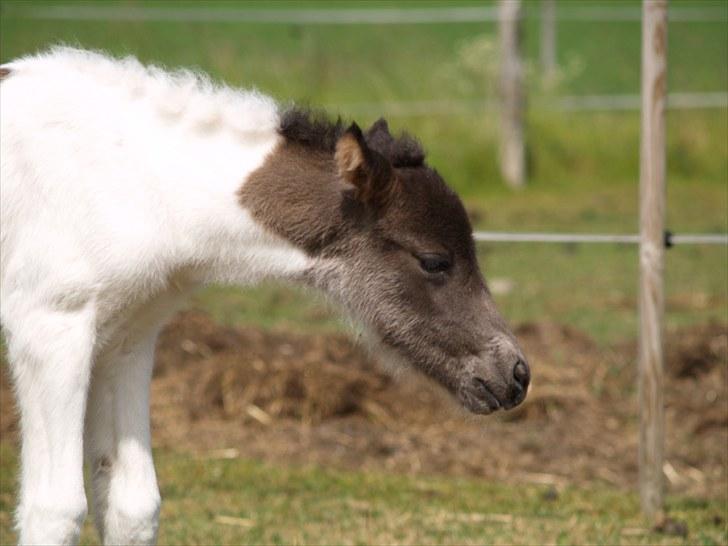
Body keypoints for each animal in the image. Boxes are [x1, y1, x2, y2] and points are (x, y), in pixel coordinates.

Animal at [0, 47, 528, 544]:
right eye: (434, 261)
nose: (517, 374)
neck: (139, 187)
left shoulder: (125, 338)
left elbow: (132, 507)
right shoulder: (50, 330)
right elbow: (56, 510)